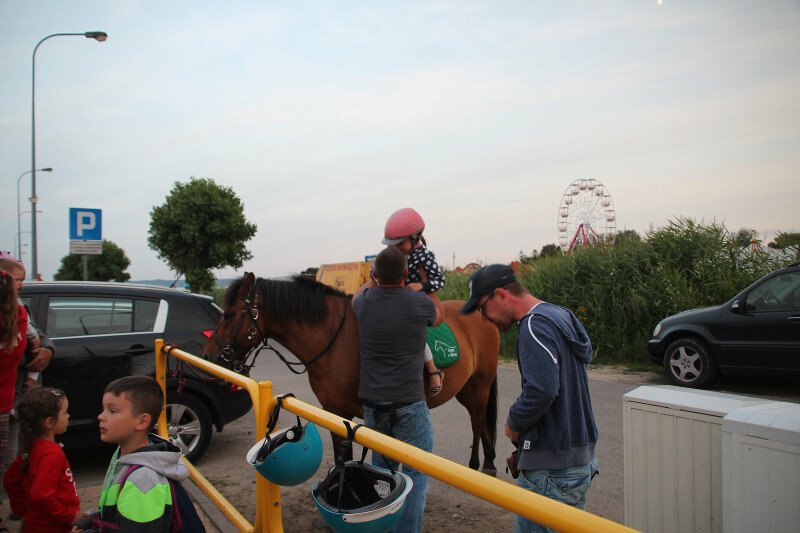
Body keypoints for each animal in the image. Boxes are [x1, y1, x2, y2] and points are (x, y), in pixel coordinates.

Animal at [200, 272, 500, 472]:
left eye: (228, 314)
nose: (209, 355)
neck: (334, 339)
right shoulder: (334, 411)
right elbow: (341, 455)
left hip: (480, 384)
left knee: (477, 421)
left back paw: (478, 463)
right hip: (465, 389)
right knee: (481, 420)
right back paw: (489, 460)